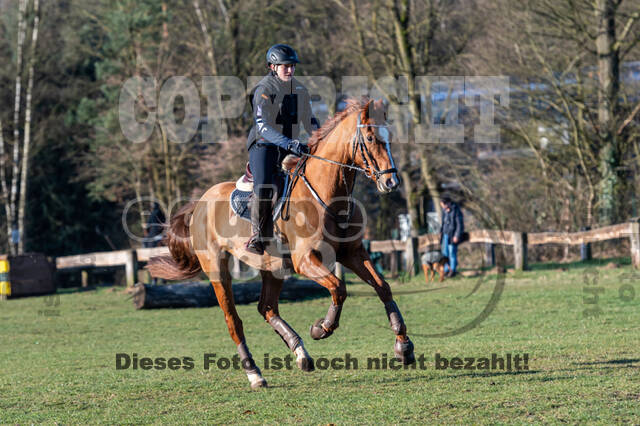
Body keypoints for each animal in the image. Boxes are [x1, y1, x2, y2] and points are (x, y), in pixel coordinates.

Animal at [146, 97, 416, 390]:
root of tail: (199, 203)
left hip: (272, 267)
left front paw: (404, 347)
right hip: (218, 270)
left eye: (388, 138)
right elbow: (339, 288)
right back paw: (255, 374)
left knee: (266, 307)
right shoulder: (306, 260)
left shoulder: (353, 253)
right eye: (369, 138)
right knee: (234, 322)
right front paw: (321, 328)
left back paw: (301, 354)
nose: (391, 181)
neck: (328, 196)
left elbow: (383, 287)